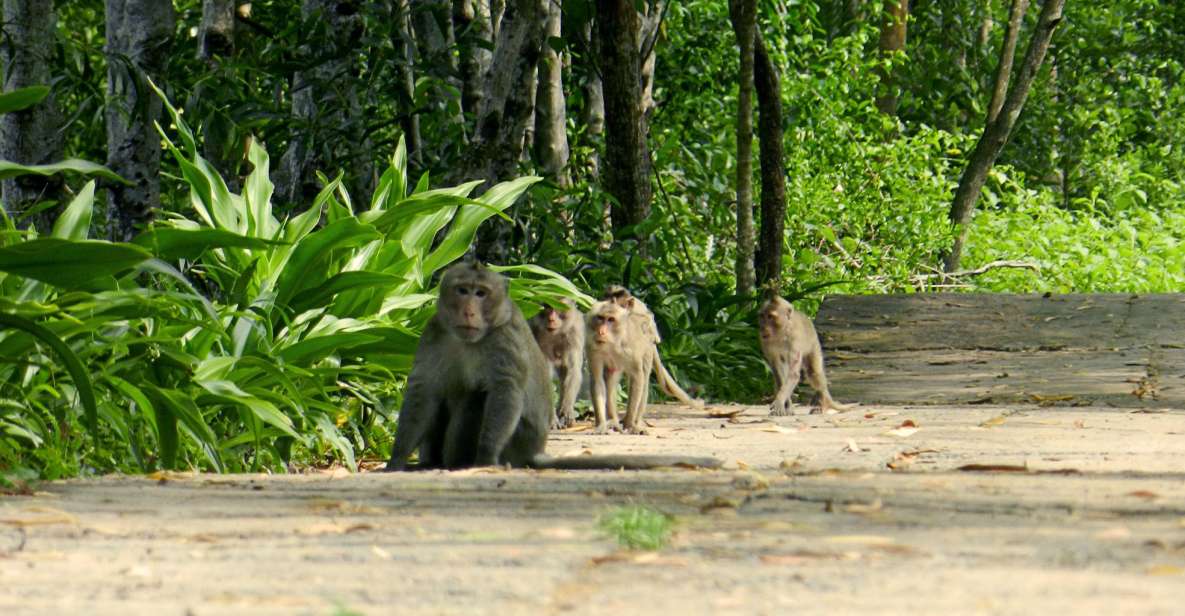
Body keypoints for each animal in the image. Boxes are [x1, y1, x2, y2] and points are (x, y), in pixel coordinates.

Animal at [530, 298, 585, 428]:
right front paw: (551, 418)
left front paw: (567, 410)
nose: (551, 319)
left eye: (558, 305)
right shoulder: (534, 330)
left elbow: (573, 370)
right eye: (547, 306)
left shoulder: (575, 332)